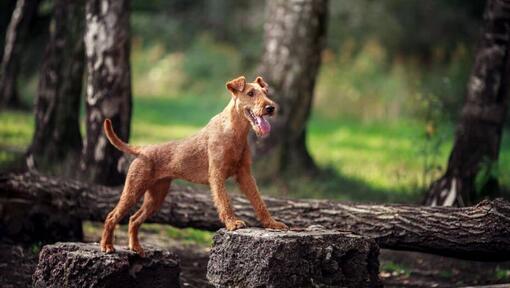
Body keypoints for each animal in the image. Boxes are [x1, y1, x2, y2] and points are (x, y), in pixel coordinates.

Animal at [100, 76, 286, 254]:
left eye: (266, 92)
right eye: (250, 93)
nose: (271, 107)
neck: (235, 131)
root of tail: (143, 150)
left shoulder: (245, 174)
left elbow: (259, 201)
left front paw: (272, 223)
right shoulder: (217, 175)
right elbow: (225, 202)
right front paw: (233, 223)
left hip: (156, 196)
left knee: (134, 219)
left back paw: (136, 247)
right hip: (133, 189)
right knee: (112, 216)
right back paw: (107, 246)